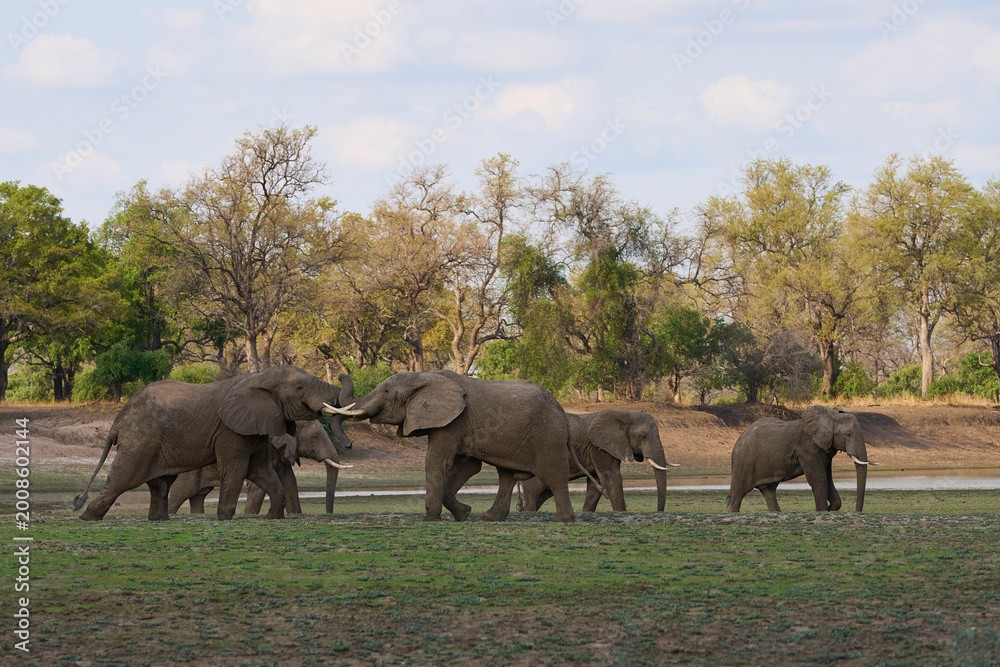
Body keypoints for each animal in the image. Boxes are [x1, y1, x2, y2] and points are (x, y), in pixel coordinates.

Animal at [167, 419, 353, 515]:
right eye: (315, 437)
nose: (329, 513)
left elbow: (290, 482)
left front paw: (295, 514)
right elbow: (258, 487)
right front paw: (249, 515)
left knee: (198, 497)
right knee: (178, 495)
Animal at [341, 370, 578, 522]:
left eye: (387, 392)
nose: (341, 376)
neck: (425, 376)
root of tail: (560, 409)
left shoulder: (453, 422)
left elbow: (436, 462)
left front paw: (431, 519)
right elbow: (467, 467)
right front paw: (464, 514)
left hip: (548, 436)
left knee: (554, 474)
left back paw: (566, 520)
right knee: (507, 477)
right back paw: (489, 519)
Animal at [520, 410, 679, 513]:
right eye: (643, 436)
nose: (658, 511)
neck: (624, 414)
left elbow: (595, 486)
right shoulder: (598, 447)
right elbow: (611, 478)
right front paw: (621, 513)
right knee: (533, 492)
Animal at [727, 405, 878, 513]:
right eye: (848, 434)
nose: (857, 512)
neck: (830, 416)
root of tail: (738, 441)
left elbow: (828, 478)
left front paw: (829, 509)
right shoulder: (808, 448)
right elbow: (819, 478)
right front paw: (822, 511)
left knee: (769, 491)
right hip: (744, 462)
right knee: (738, 495)